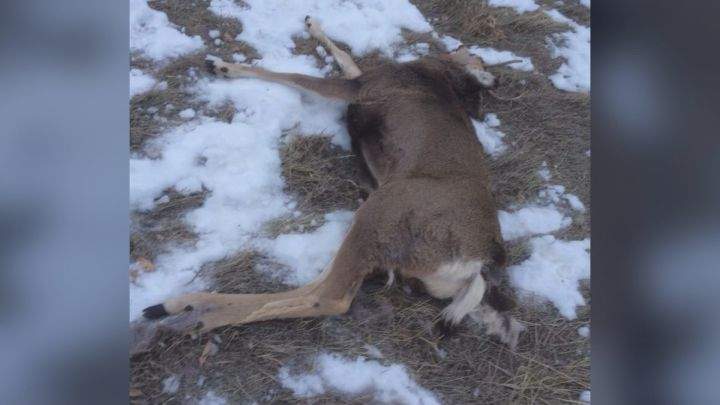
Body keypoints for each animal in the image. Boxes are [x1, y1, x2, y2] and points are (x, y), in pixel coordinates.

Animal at [140, 16, 524, 349]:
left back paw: (194, 316)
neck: (434, 70)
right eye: (482, 58)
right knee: (317, 284)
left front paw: (224, 66)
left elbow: (292, 74)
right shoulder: (360, 78)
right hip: (376, 228)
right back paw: (185, 305)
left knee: (331, 297)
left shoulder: (360, 86)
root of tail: (480, 261)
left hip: (384, 209)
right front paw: (312, 23)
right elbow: (344, 55)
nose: (497, 80)